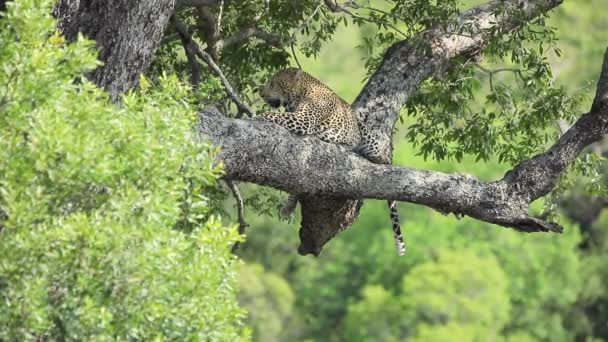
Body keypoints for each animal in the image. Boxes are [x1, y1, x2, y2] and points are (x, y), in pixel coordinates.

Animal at [255, 68, 404, 255]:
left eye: (273, 83)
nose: (260, 93)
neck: (300, 93)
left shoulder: (303, 120)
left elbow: (273, 115)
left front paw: (255, 117)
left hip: (371, 143)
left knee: (382, 159)